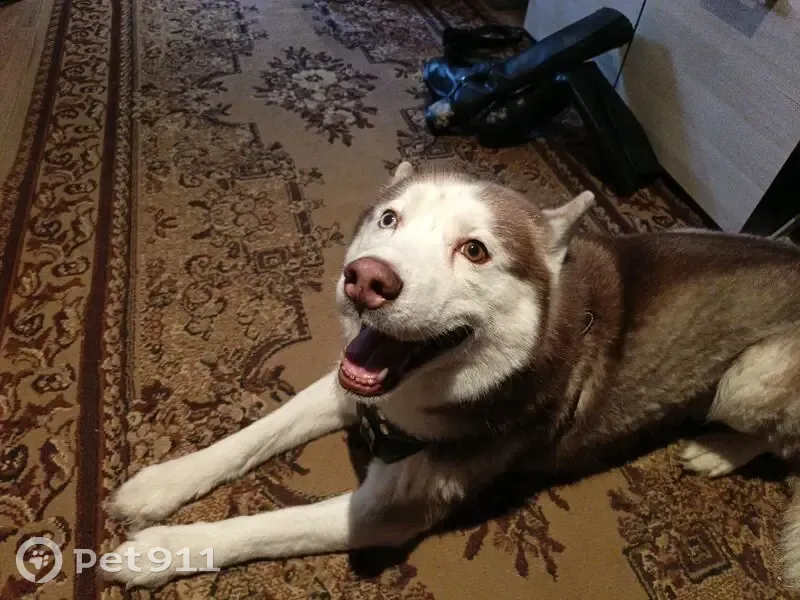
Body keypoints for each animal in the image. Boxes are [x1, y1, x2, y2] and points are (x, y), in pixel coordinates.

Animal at [108, 162, 800, 589]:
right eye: (389, 219)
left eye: (475, 250)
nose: (366, 278)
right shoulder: (351, 389)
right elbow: (253, 435)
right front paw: (158, 485)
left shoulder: (388, 509)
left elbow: (265, 528)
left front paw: (159, 550)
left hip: (749, 377)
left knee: (781, 440)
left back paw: (718, 451)